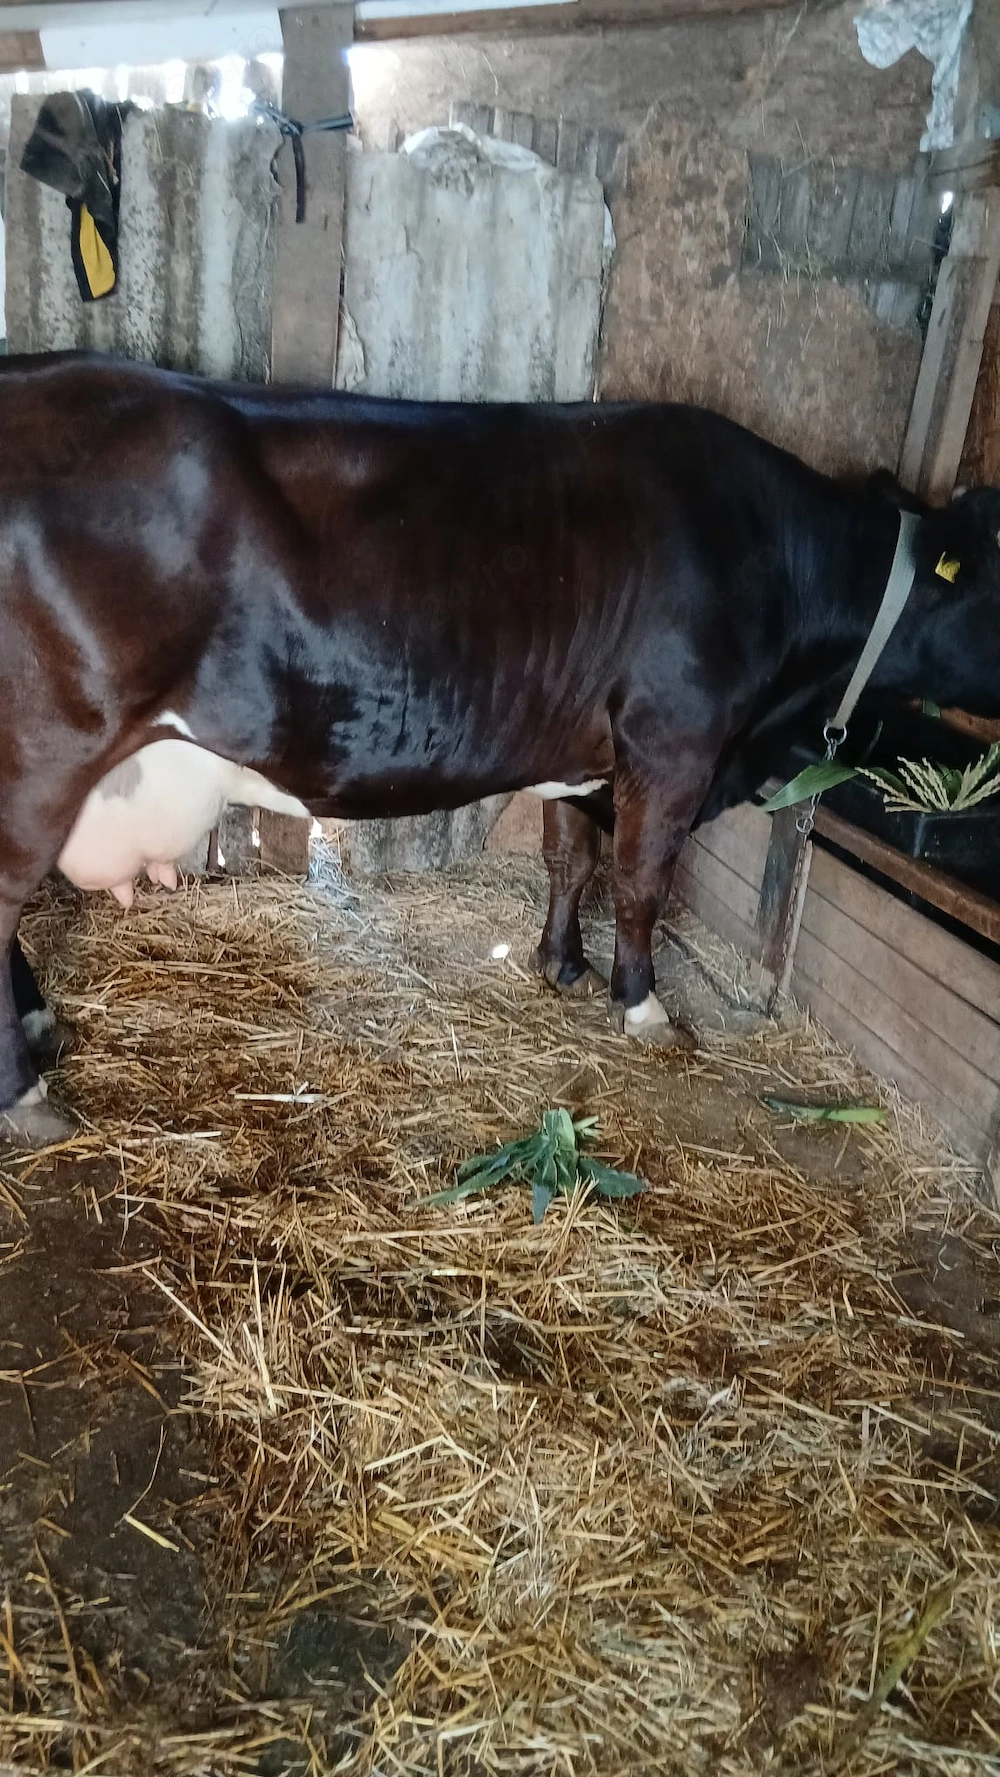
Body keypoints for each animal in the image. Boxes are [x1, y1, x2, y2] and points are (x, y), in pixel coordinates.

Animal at [1, 352, 999, 1145]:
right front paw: (643, 1006)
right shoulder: (673, 739)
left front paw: (560, 963)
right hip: (43, 759)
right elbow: (641, 880)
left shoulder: (582, 749)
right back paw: (27, 1095)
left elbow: (573, 857)